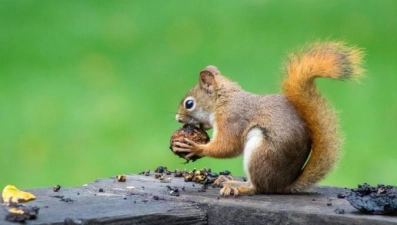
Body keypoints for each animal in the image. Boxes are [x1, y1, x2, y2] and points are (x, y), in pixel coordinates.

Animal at [170, 41, 362, 195]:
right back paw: (228, 180)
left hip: (261, 152)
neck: (223, 101)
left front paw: (195, 147)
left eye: (189, 103)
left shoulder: (231, 119)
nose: (178, 118)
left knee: (257, 188)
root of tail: (282, 185)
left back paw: (238, 187)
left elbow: (227, 146)